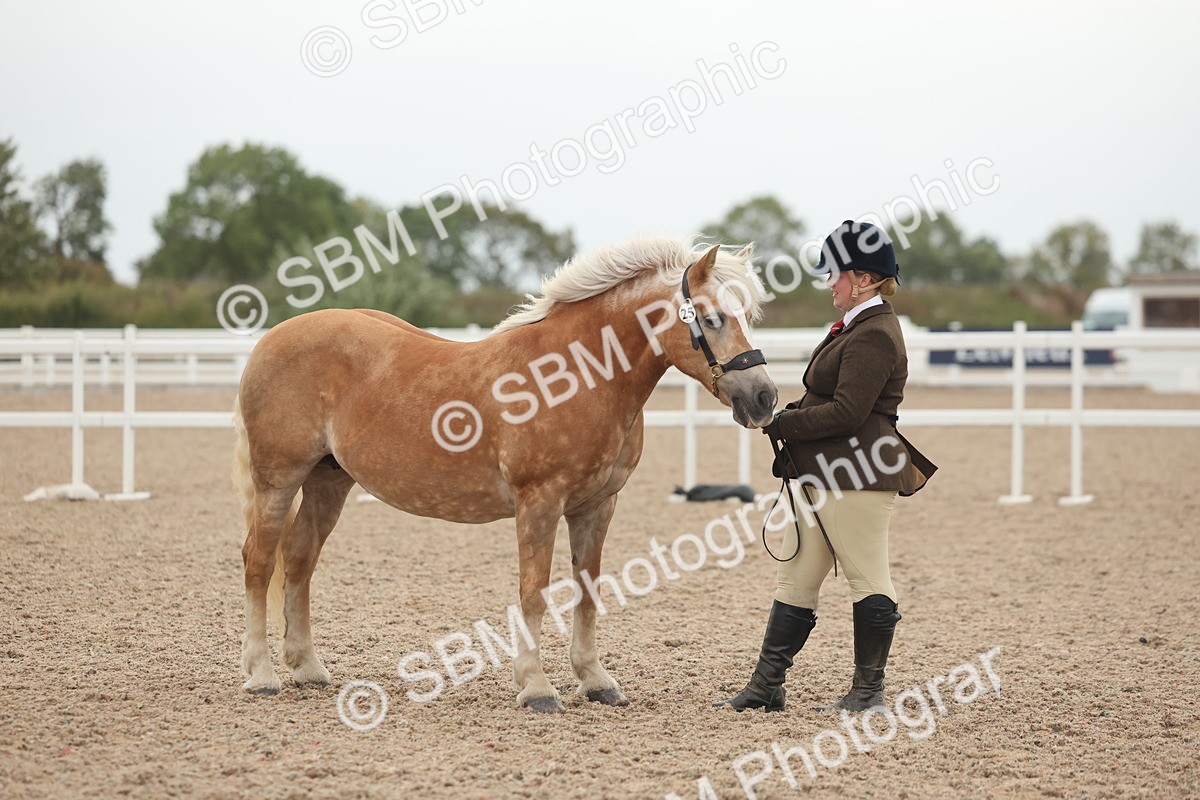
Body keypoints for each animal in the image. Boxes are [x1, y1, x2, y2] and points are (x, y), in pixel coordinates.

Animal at [233, 237, 779, 712]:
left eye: (747, 316)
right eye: (712, 318)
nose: (764, 398)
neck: (576, 375)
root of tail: (269, 340)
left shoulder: (596, 506)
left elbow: (587, 590)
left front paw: (595, 681)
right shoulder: (539, 502)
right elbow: (533, 591)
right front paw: (536, 687)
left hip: (329, 480)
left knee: (299, 559)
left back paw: (308, 669)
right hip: (278, 479)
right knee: (259, 562)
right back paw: (261, 675)